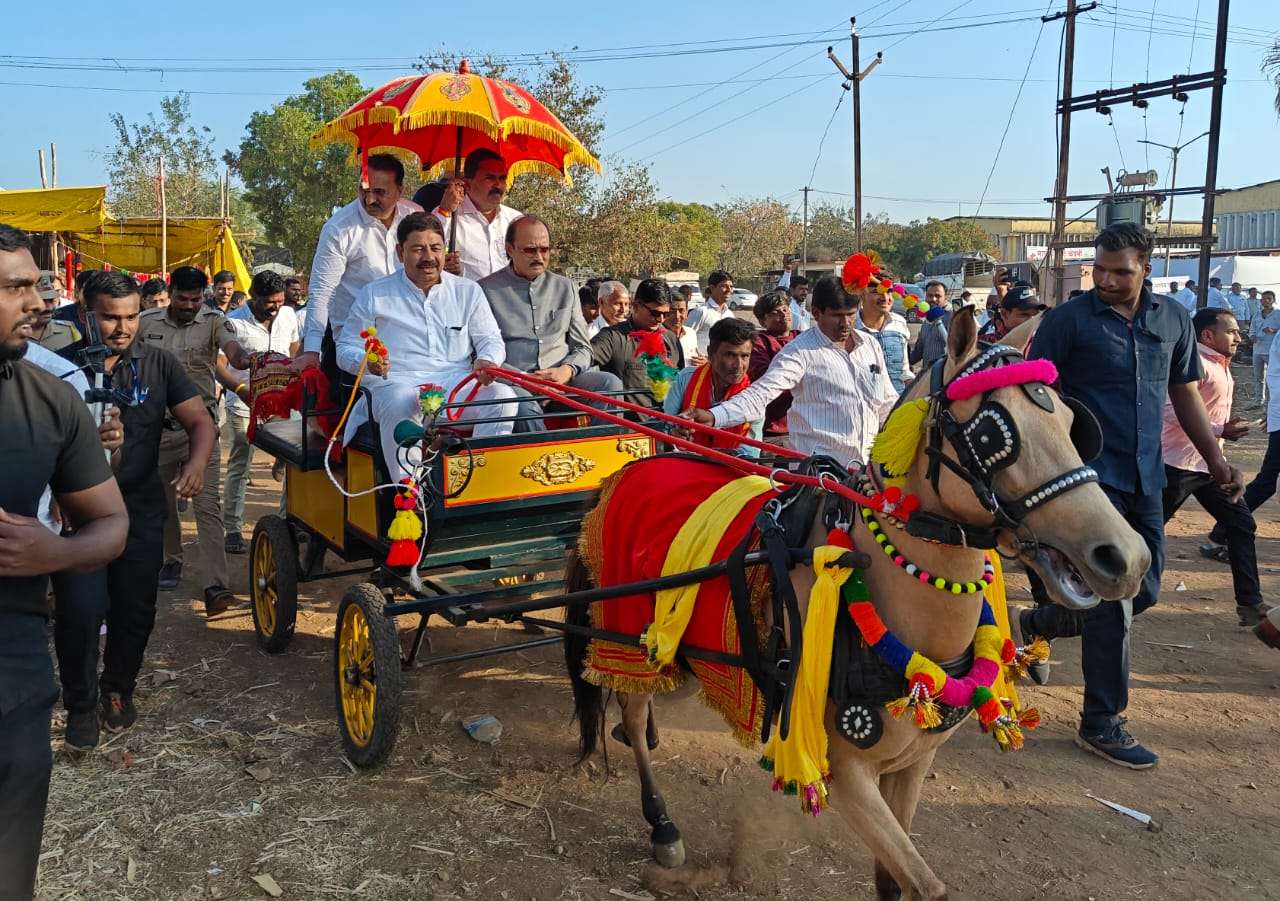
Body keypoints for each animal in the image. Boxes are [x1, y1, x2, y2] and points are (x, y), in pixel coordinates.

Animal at [563, 310, 1152, 901]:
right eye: (992, 434)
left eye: (1073, 426)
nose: (1126, 556)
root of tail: (624, 474)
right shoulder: (845, 773)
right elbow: (928, 886)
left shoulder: (913, 762)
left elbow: (896, 882)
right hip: (631, 638)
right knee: (631, 706)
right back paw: (660, 822)